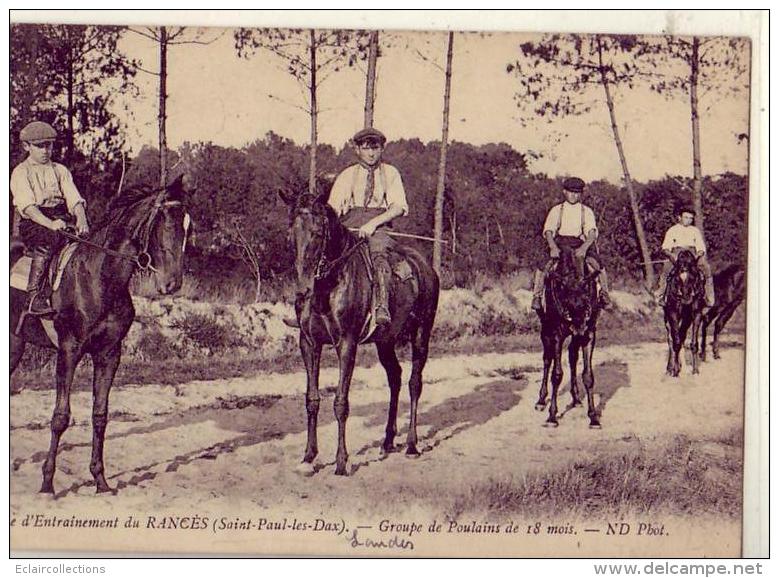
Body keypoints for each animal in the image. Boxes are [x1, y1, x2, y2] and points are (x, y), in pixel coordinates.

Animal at [10, 176, 189, 490]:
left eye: (187, 226)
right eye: (166, 222)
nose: (172, 284)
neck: (100, 277)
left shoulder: (109, 354)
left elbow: (100, 415)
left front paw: (100, 479)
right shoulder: (69, 351)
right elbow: (60, 417)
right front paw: (47, 483)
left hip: (14, 344)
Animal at [280, 191, 438, 474]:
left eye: (318, 233)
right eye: (290, 234)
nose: (302, 290)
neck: (328, 286)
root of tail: (426, 268)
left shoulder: (347, 344)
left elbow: (341, 403)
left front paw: (341, 462)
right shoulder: (308, 343)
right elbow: (312, 400)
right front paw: (308, 457)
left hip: (422, 334)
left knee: (414, 384)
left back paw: (411, 445)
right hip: (385, 341)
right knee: (395, 378)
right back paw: (387, 442)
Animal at [536, 242, 604, 428]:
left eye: (587, 286)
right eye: (563, 288)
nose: (579, 319)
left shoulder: (589, 334)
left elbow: (588, 376)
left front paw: (593, 417)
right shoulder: (557, 334)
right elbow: (556, 374)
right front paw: (552, 416)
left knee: (573, 357)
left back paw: (576, 398)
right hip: (546, 331)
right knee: (547, 359)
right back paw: (541, 400)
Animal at [664, 246, 708, 374]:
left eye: (692, 278)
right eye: (677, 278)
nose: (685, 299)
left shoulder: (697, 314)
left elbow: (694, 343)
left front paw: (695, 370)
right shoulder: (673, 314)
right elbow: (676, 342)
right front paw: (675, 371)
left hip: (686, 320)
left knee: (681, 335)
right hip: (667, 318)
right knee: (671, 339)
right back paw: (670, 368)